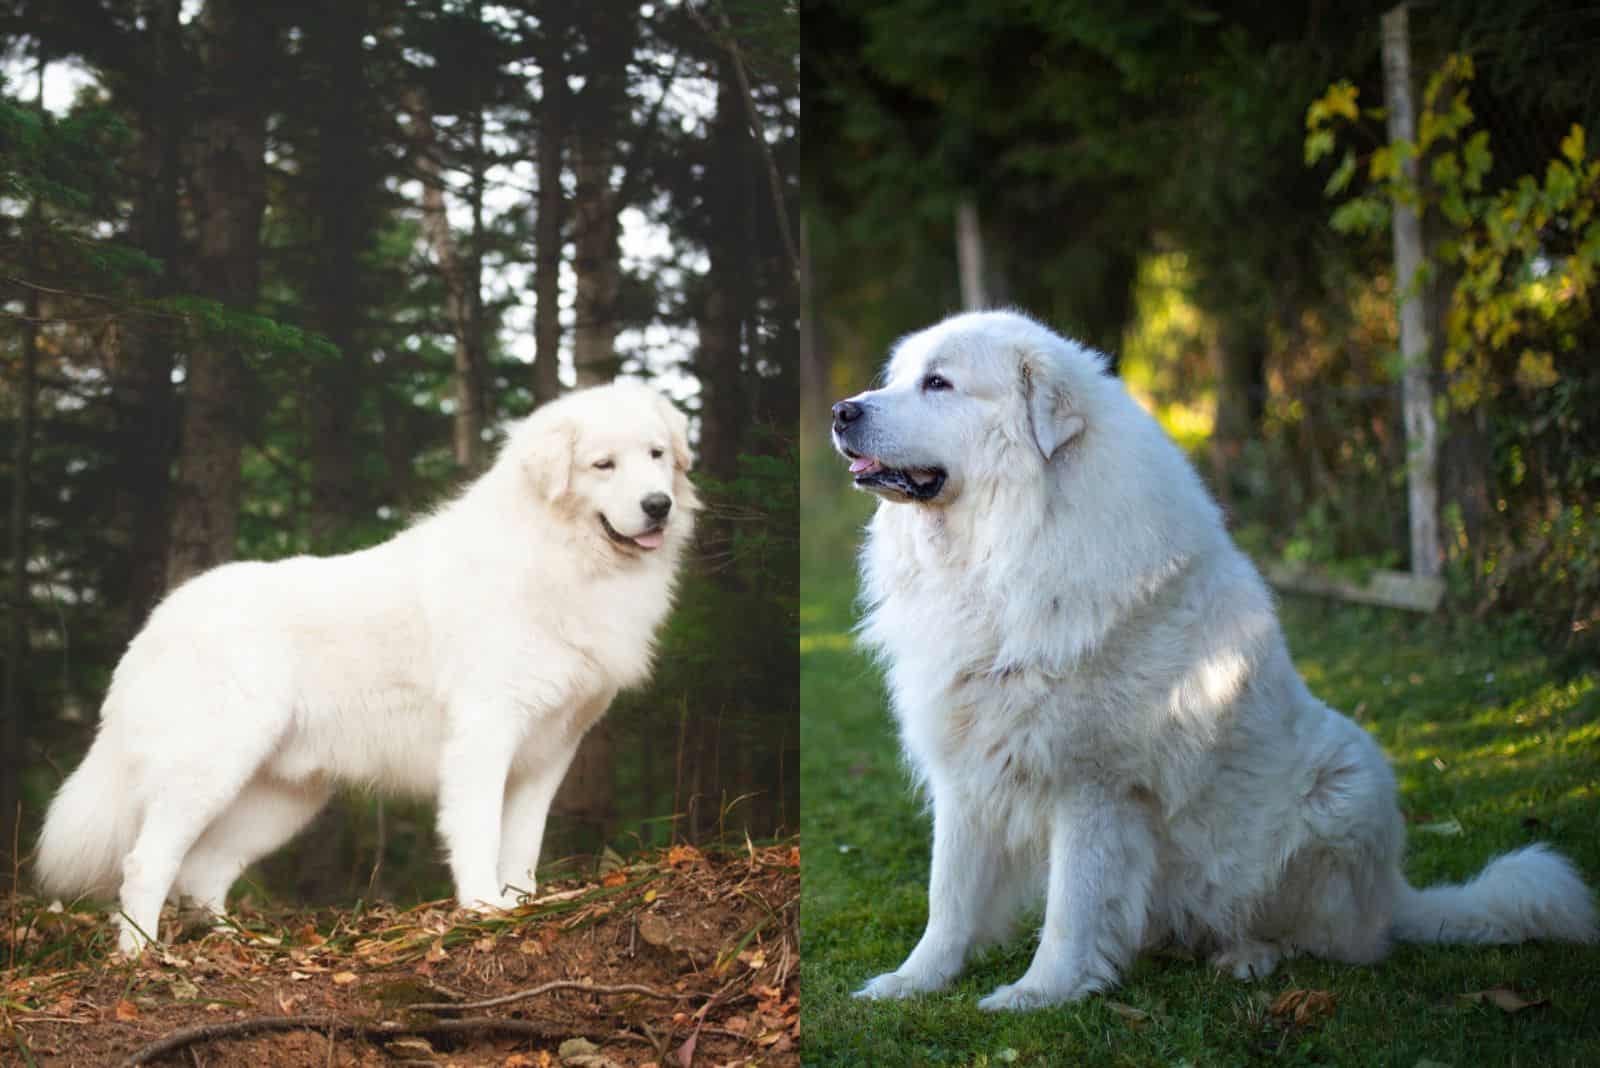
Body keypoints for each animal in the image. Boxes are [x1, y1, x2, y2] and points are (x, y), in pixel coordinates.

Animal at [37, 378, 697, 952]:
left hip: (280, 799)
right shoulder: (485, 735)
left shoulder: (552, 750)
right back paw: (142, 959)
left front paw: (522, 907)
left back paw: (239, 945)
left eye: (657, 455)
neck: (559, 555)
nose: (657, 505)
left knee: (202, 871)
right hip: (207, 770)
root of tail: (156, 622)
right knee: (148, 864)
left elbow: (522, 846)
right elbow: (479, 832)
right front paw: (484, 910)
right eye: (603, 465)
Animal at [832, 308, 1593, 1010]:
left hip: (1345, 785)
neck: (1006, 548)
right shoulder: (967, 768)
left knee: (1333, 943)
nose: (842, 412)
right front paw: (913, 981)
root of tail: (1394, 895)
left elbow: (1073, 907)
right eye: (896, 378)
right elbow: (950, 896)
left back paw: (1250, 957)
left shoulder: (1093, 785)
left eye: (938, 383)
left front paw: (1040, 993)